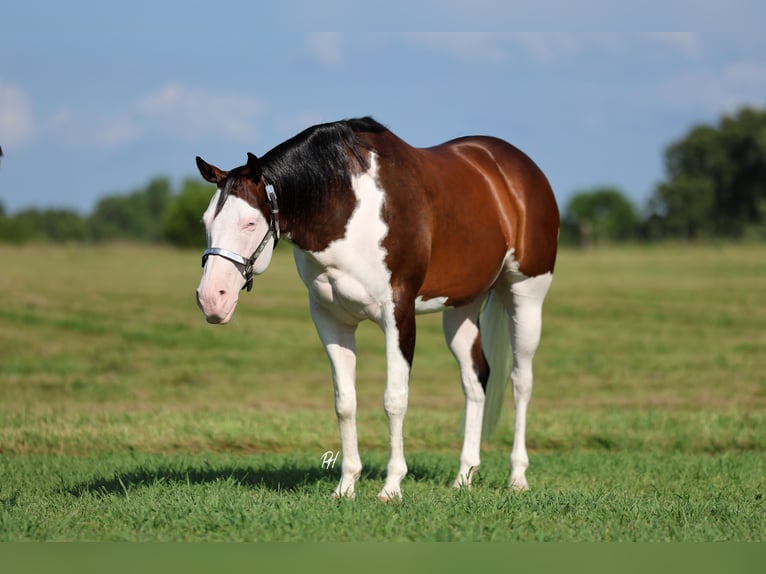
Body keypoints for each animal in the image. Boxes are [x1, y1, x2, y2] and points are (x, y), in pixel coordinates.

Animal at [195, 117, 559, 500]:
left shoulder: (398, 315)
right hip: (461, 308)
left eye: (249, 223)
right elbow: (345, 402)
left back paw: (517, 477)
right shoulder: (331, 320)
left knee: (521, 381)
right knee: (476, 380)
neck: (346, 206)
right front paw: (346, 486)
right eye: (206, 222)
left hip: (526, 297)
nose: (211, 298)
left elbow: (394, 399)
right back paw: (464, 476)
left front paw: (392, 486)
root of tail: (517, 170)